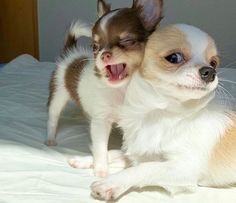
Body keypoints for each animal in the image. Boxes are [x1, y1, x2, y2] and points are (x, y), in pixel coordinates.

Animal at [46, 0, 163, 177]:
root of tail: (70, 54)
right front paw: (101, 171)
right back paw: (50, 138)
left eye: (127, 41)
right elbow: (101, 148)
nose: (104, 54)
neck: (124, 90)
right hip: (58, 94)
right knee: (53, 117)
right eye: (95, 47)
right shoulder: (101, 122)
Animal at [91, 24, 236, 200]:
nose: (210, 72)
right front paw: (86, 160)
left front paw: (111, 183)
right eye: (174, 58)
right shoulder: (140, 154)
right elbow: (115, 153)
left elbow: (144, 168)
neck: (162, 112)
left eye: (214, 63)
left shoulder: (183, 169)